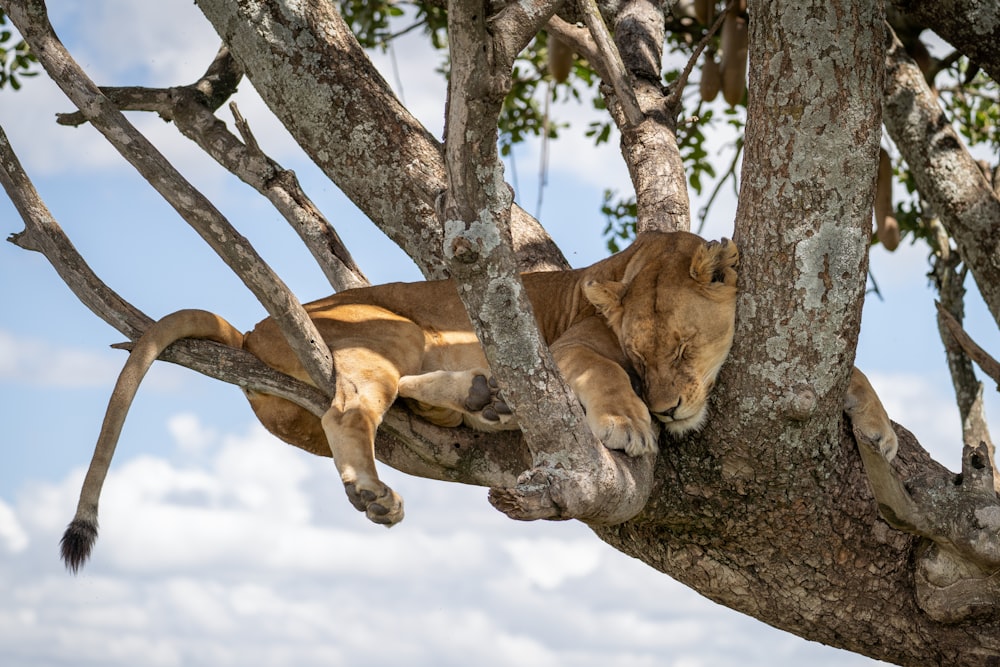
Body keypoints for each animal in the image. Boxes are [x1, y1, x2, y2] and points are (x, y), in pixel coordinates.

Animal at [56, 232, 900, 572]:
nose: (665, 409)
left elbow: (854, 374)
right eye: (640, 354)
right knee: (350, 405)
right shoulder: (574, 348)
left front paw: (880, 429)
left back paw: (483, 399)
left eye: (686, 346)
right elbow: (602, 378)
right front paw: (628, 425)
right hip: (389, 327)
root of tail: (255, 324)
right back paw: (384, 481)